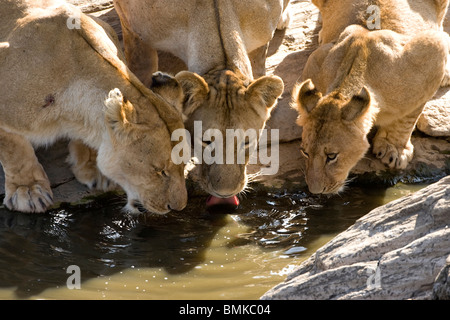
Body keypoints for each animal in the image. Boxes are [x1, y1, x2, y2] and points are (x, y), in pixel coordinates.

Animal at [0, 1, 187, 215]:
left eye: (183, 165)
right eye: (159, 171)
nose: (178, 207)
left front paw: (94, 171)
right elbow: (13, 148)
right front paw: (28, 191)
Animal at [114, 0, 286, 205]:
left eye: (247, 141)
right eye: (205, 141)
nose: (225, 193)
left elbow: (258, 67)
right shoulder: (132, 26)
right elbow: (139, 73)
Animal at [290, 0, 448, 194]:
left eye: (332, 156)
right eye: (305, 152)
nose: (315, 191)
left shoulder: (433, 50)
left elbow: (408, 118)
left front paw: (394, 150)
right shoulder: (316, 59)